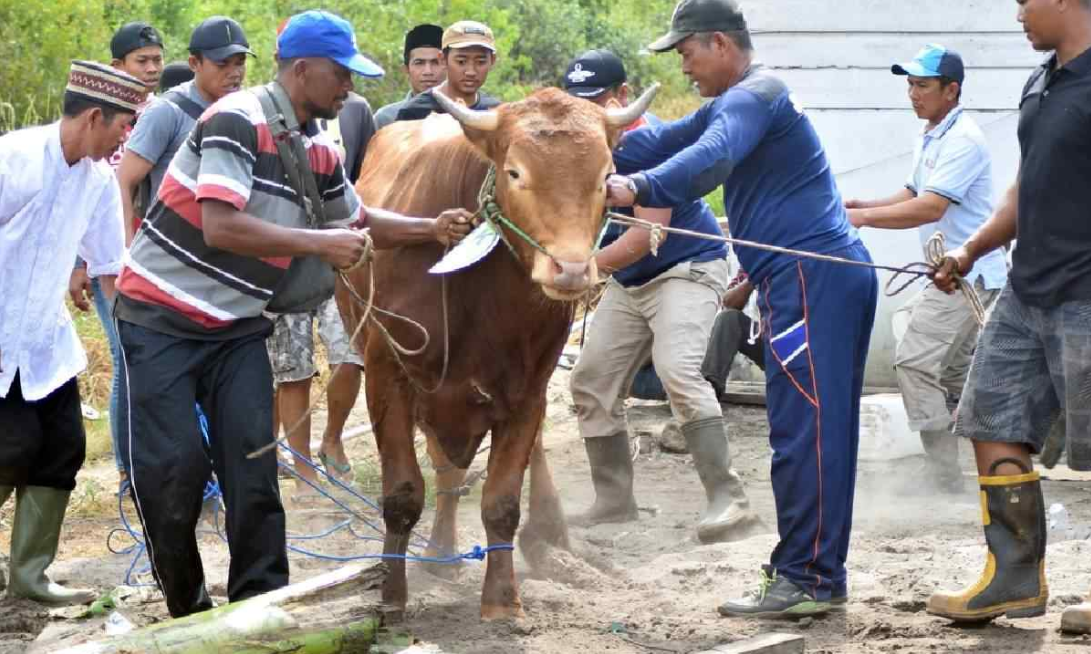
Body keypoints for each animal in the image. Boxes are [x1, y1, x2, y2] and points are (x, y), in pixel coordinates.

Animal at [336, 84, 654, 620]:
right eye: (516, 172)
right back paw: (440, 554)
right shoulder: (388, 377)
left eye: (605, 175)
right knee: (446, 472)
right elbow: (403, 494)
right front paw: (392, 595)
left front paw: (503, 599)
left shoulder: (529, 391)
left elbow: (502, 500)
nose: (570, 270)